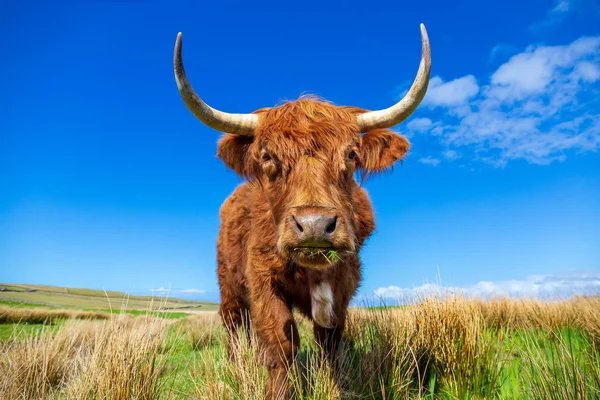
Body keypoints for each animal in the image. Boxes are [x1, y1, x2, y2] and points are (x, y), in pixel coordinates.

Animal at [173, 24, 432, 396]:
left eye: (351, 154)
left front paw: (334, 386)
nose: (314, 226)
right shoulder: (263, 282)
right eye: (267, 156)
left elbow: (331, 341)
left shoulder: (343, 287)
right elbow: (282, 343)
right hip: (229, 288)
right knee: (234, 328)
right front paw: (277, 393)